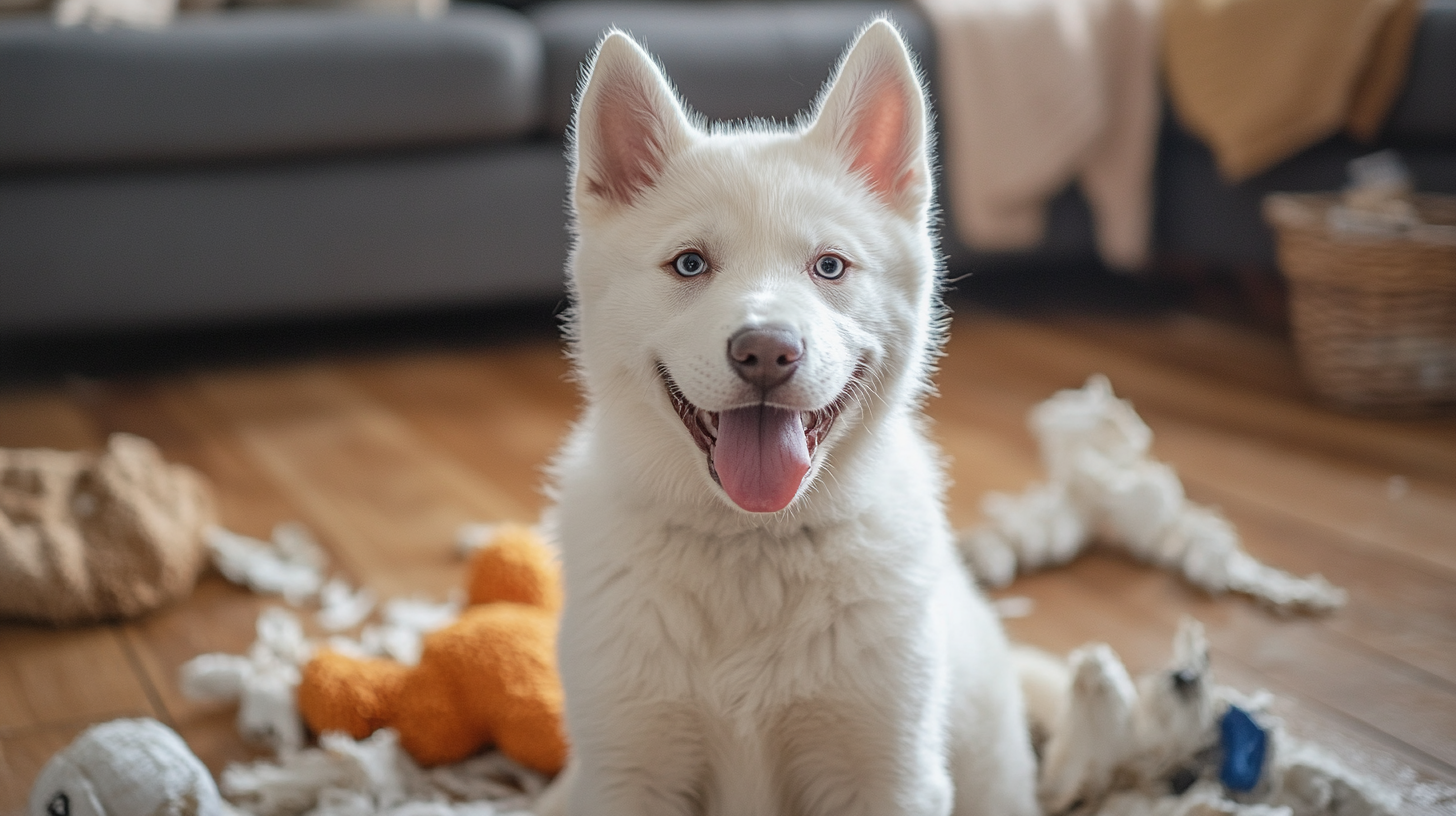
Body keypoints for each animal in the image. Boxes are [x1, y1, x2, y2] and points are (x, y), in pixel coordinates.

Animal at [544, 19, 1036, 816]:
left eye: (829, 266)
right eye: (690, 264)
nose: (766, 352)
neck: (752, 546)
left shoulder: (890, 774)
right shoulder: (627, 773)